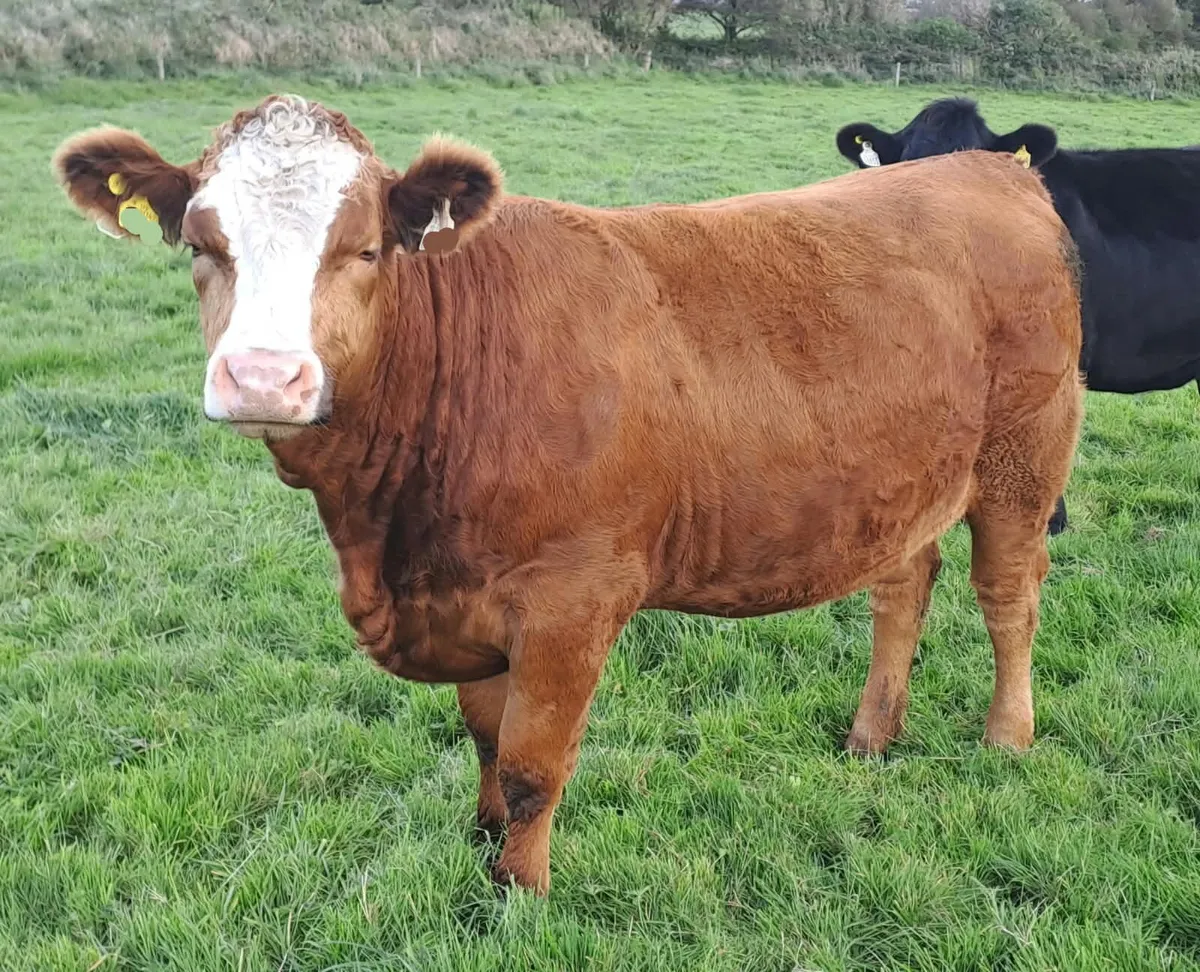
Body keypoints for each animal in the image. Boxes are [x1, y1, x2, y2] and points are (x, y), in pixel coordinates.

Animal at [53, 95, 1083, 895]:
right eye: (201, 244)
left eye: (366, 249)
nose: (265, 378)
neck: (389, 533)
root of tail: (991, 172)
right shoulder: (464, 600)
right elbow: (483, 739)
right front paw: (478, 846)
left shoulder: (571, 601)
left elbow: (532, 767)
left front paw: (519, 893)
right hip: (902, 479)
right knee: (903, 587)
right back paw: (872, 734)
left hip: (1024, 459)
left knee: (1010, 597)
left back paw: (1007, 737)